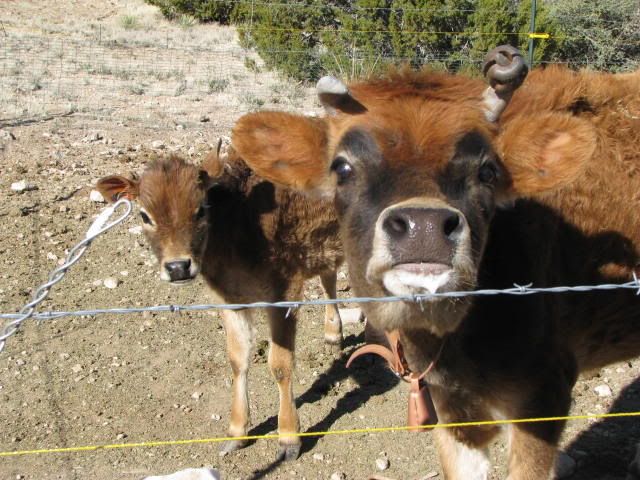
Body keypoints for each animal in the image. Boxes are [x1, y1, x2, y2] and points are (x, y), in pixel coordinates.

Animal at [96, 145, 344, 461]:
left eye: (201, 209)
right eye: (144, 215)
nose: (178, 267)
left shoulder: (284, 290)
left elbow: (280, 364)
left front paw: (289, 437)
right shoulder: (229, 299)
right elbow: (237, 359)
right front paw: (237, 432)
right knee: (329, 276)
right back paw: (333, 333)